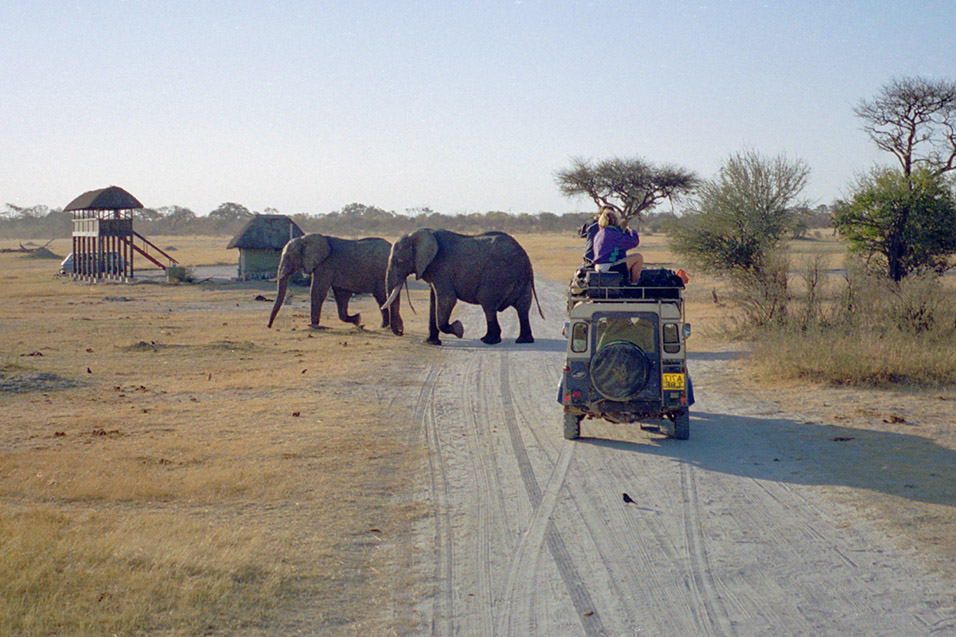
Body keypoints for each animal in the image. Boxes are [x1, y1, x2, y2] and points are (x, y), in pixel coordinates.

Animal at [268, 232, 404, 332]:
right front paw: (358, 320)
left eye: (289, 257)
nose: (269, 326)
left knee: (383, 296)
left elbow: (318, 291)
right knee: (381, 298)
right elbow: (341, 295)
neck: (304, 239)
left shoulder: (325, 265)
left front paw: (313, 326)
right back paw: (385, 326)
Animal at [384, 229, 540, 346]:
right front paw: (430, 342)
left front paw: (459, 329)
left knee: (488, 303)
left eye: (398, 261)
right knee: (523, 307)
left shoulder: (441, 268)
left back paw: (489, 341)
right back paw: (523, 341)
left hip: (497, 275)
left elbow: (447, 300)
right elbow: (434, 300)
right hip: (521, 279)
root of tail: (525, 257)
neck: (417, 234)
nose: (401, 332)